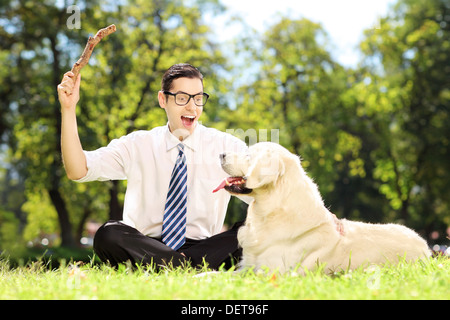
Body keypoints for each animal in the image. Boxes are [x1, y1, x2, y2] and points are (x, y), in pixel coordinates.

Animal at [216, 144, 430, 274]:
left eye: (248, 155)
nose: (221, 154)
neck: (271, 211)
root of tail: (426, 248)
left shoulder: (272, 271)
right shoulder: (246, 265)